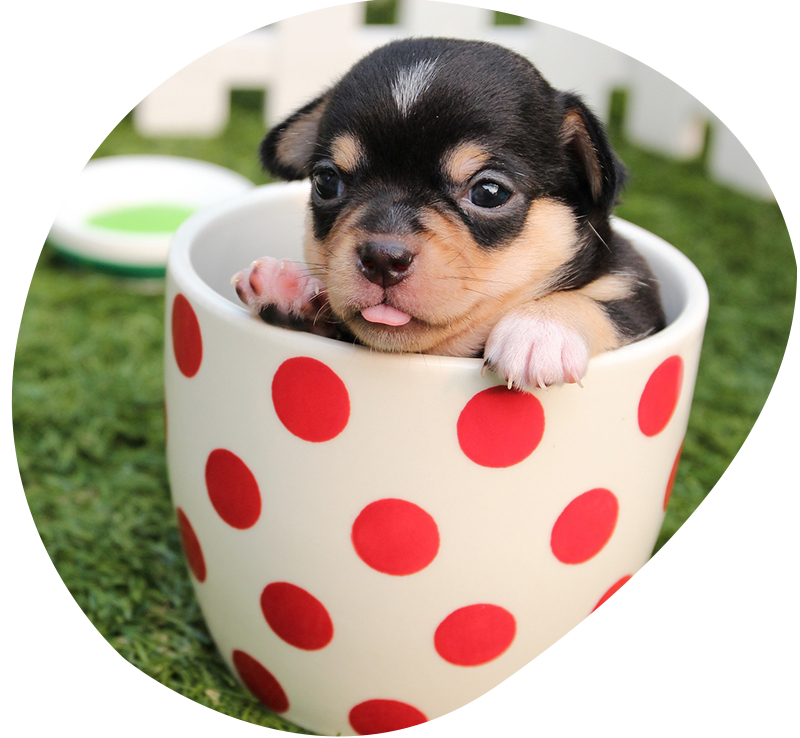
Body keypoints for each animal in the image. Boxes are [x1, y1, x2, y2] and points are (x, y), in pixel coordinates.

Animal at [233, 38, 668, 392]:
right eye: (326, 181)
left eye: (489, 193)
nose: (382, 258)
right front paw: (289, 286)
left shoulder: (638, 294)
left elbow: (603, 303)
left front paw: (539, 329)